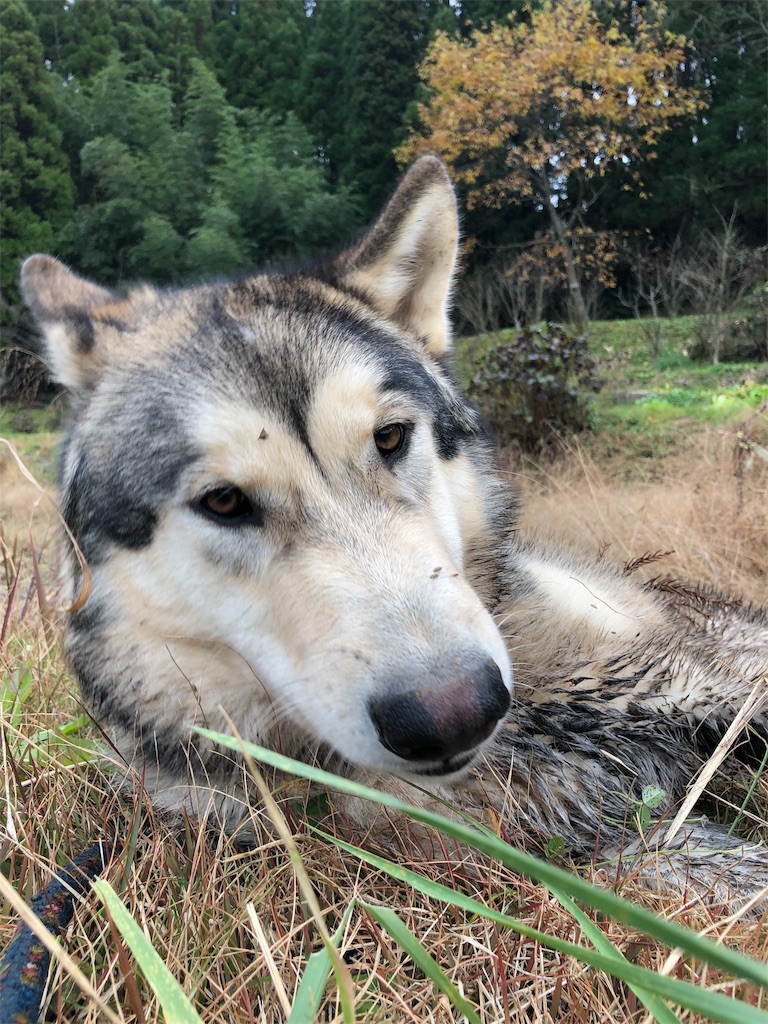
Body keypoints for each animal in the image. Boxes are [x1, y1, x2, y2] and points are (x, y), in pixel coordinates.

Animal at [21, 157, 768, 904]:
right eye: (224, 501)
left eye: (390, 437)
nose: (458, 712)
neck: (535, 720)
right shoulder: (600, 847)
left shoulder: (711, 671)